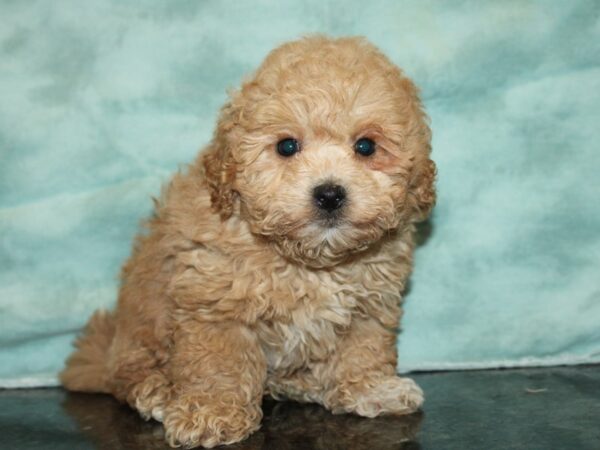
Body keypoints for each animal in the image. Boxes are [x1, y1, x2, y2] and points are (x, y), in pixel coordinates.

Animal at [61, 36, 436, 450]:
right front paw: (211, 413)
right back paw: (157, 391)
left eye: (366, 147)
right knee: (128, 375)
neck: (309, 261)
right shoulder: (216, 305)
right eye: (287, 146)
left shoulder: (370, 305)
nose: (329, 194)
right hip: (141, 331)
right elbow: (218, 365)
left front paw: (372, 389)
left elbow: (363, 349)